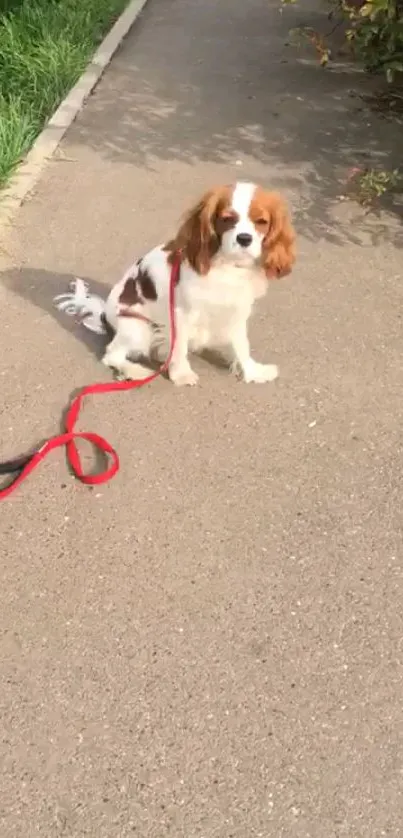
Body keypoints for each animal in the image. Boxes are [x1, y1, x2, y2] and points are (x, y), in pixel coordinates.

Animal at [53, 184, 296, 388]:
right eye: (227, 219)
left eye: (261, 222)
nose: (244, 238)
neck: (227, 265)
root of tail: (104, 315)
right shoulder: (180, 314)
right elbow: (179, 348)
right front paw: (181, 374)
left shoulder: (237, 311)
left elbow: (241, 345)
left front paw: (253, 372)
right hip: (137, 327)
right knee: (111, 354)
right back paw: (135, 371)